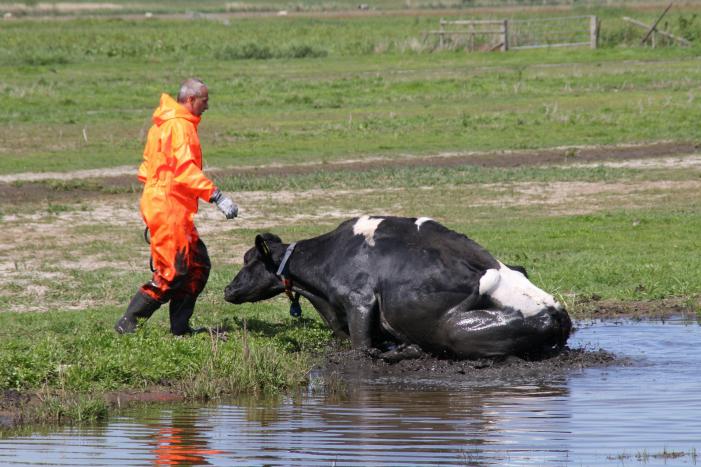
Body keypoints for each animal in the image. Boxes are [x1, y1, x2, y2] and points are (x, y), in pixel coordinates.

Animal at [224, 216, 571, 360]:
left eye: (248, 259)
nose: (227, 289)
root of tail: (554, 307)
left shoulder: (359, 300)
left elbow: (361, 347)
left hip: (455, 327)